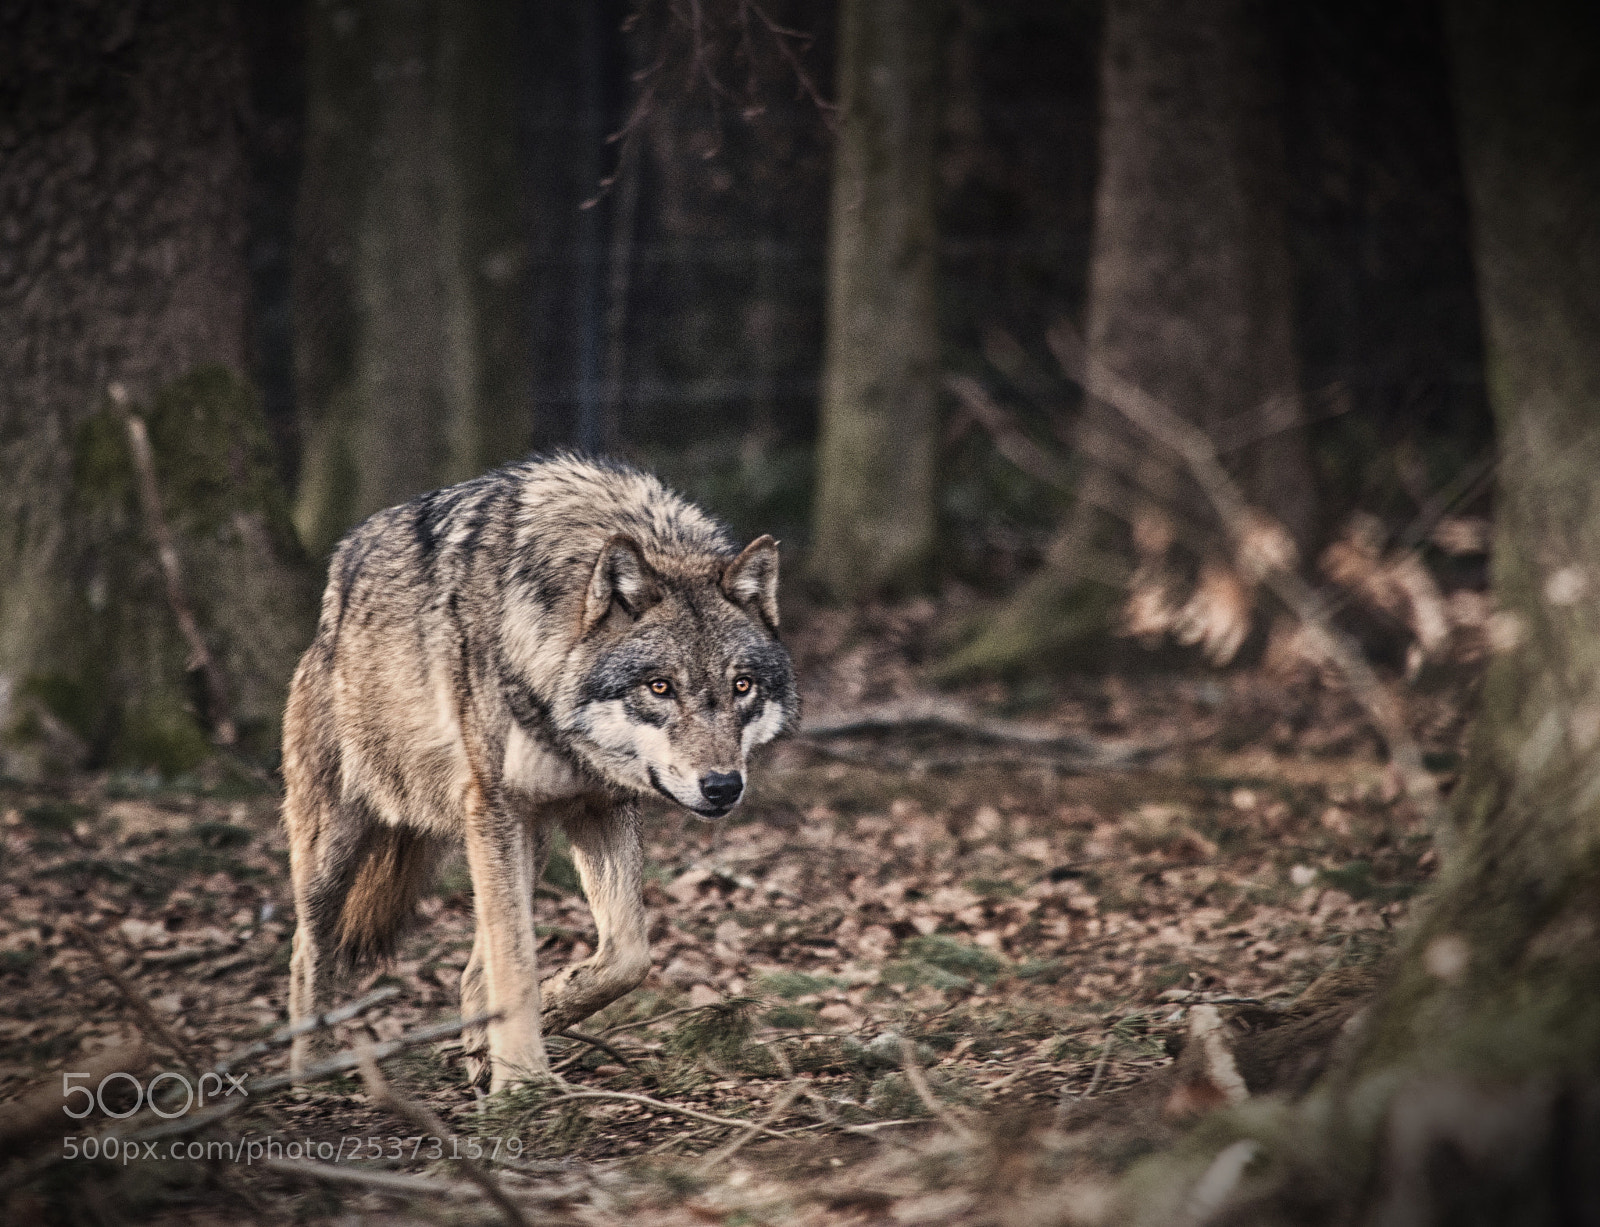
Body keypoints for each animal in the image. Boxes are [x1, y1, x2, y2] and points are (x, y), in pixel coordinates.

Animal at [281, 454, 798, 1091]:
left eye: (742, 686)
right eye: (660, 687)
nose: (723, 786)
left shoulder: (601, 804)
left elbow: (628, 955)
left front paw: (549, 1010)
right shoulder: (496, 804)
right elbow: (516, 958)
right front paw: (524, 1079)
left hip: (524, 837)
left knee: (472, 966)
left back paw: (479, 1048)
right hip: (341, 844)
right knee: (309, 946)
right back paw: (311, 1069)